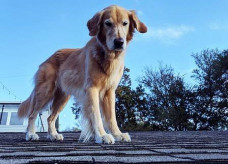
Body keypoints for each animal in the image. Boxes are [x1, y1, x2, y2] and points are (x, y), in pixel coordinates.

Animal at [17, 4, 146, 144]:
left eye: (125, 23)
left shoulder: (110, 91)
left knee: (50, 118)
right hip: (46, 91)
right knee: (32, 114)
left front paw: (118, 134)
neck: (108, 56)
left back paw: (53, 135)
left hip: (62, 97)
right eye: (108, 23)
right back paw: (31, 134)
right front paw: (102, 135)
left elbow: (112, 117)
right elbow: (96, 115)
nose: (119, 42)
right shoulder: (92, 89)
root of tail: (49, 58)